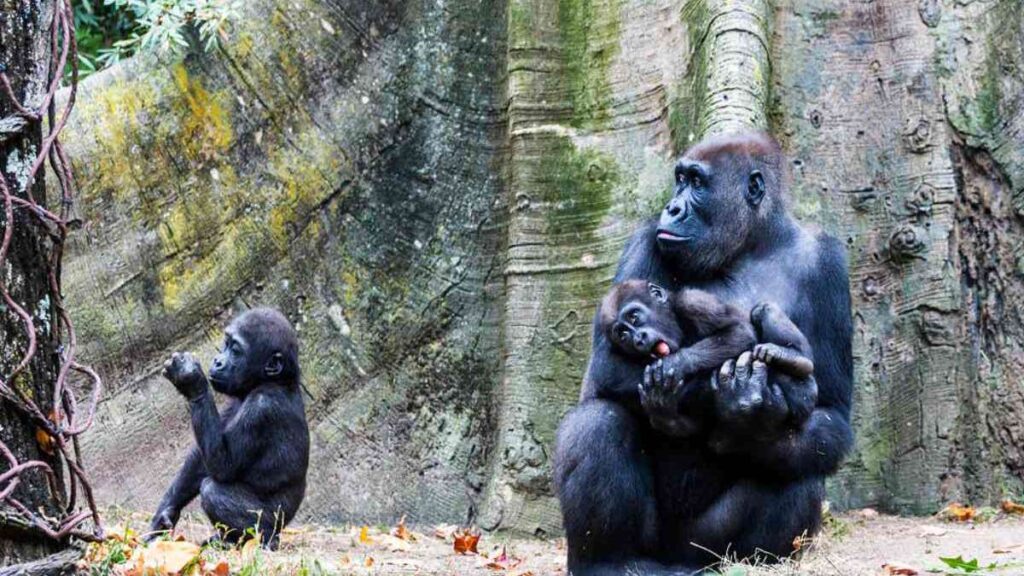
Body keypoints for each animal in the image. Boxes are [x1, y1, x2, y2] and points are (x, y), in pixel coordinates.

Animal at [147, 307, 307, 545]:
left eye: (236, 350)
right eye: (225, 343)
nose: (217, 361)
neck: (274, 381)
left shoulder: (262, 408)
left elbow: (223, 464)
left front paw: (190, 379)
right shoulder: (233, 400)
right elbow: (200, 461)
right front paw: (164, 515)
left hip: (275, 523)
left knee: (213, 491)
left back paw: (262, 540)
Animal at [602, 278, 819, 438]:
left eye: (634, 317)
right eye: (623, 335)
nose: (638, 339)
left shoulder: (694, 302)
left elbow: (739, 331)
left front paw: (677, 362)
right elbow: (694, 427)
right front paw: (661, 408)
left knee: (762, 310)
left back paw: (795, 357)